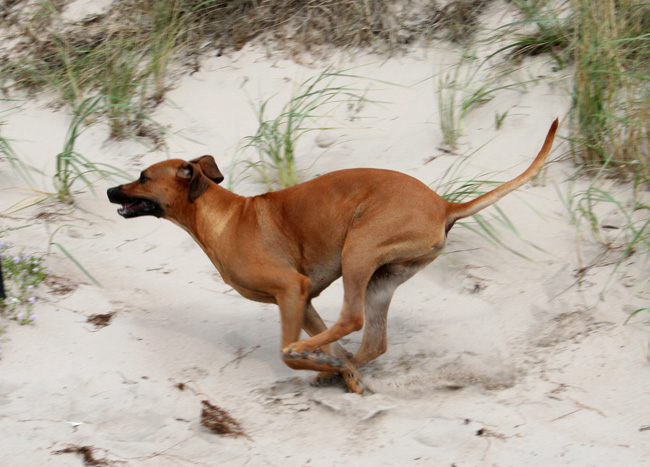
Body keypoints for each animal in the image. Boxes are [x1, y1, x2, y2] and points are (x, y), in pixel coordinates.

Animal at [107, 119, 556, 394]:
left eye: (143, 176)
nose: (111, 191)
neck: (224, 217)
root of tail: (444, 204)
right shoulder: (302, 301)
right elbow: (336, 352)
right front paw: (339, 371)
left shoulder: (291, 290)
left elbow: (292, 355)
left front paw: (312, 360)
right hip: (382, 278)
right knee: (371, 343)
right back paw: (341, 368)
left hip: (358, 248)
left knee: (350, 321)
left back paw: (313, 355)